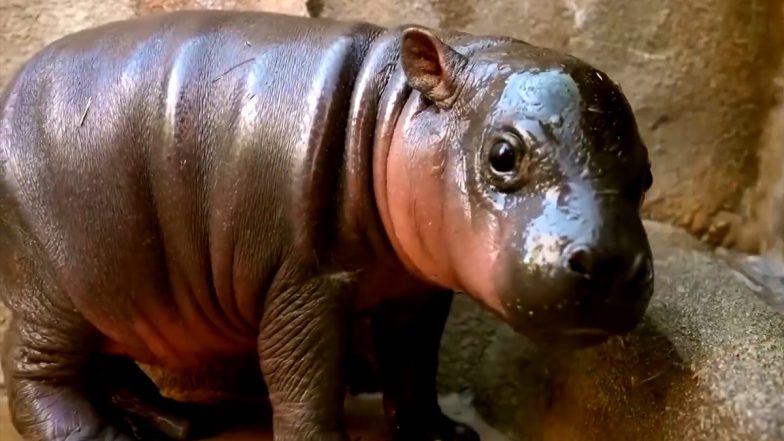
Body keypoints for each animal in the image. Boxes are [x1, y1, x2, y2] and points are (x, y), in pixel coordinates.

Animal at [0, 9, 654, 441]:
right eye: (502, 154)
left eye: (646, 174)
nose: (610, 262)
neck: (390, 110)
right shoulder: (304, 282)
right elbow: (305, 377)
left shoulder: (415, 290)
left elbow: (413, 366)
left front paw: (444, 436)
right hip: (55, 283)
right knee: (33, 368)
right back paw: (98, 436)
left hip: (113, 293)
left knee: (103, 363)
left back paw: (176, 421)